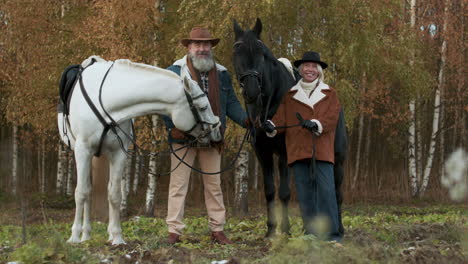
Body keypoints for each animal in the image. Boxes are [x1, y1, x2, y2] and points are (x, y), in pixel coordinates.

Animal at [57, 54, 222, 244]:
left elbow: (114, 194)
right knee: (87, 192)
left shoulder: (118, 153)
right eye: (202, 107)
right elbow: (81, 193)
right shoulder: (82, 150)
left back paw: (93, 233)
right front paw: (74, 236)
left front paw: (117, 237)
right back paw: (83, 235)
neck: (106, 99)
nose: (216, 131)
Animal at [234, 18, 348, 237]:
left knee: (337, 193)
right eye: (237, 51)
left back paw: (338, 228)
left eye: (260, 52)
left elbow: (285, 192)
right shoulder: (262, 152)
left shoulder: (285, 152)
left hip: (337, 159)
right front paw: (271, 230)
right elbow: (270, 191)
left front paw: (285, 230)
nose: (251, 91)